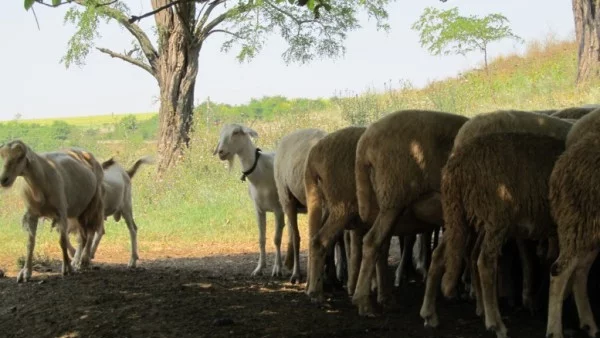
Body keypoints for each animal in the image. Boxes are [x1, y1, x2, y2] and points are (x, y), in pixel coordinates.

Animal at [0, 140, 104, 282]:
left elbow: (62, 241)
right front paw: (26, 273)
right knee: (82, 237)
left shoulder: (61, 212)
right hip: (77, 210)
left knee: (90, 233)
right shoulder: (32, 214)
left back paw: (83, 261)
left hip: (91, 205)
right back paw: (76, 261)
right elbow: (30, 243)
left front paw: (67, 269)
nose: (3, 180)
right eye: (2, 156)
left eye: (20, 157)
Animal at [420, 132, 564, 338]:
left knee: (439, 255)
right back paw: (496, 324)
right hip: (496, 215)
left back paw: (429, 314)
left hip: (460, 217)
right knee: (485, 262)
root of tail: (455, 168)